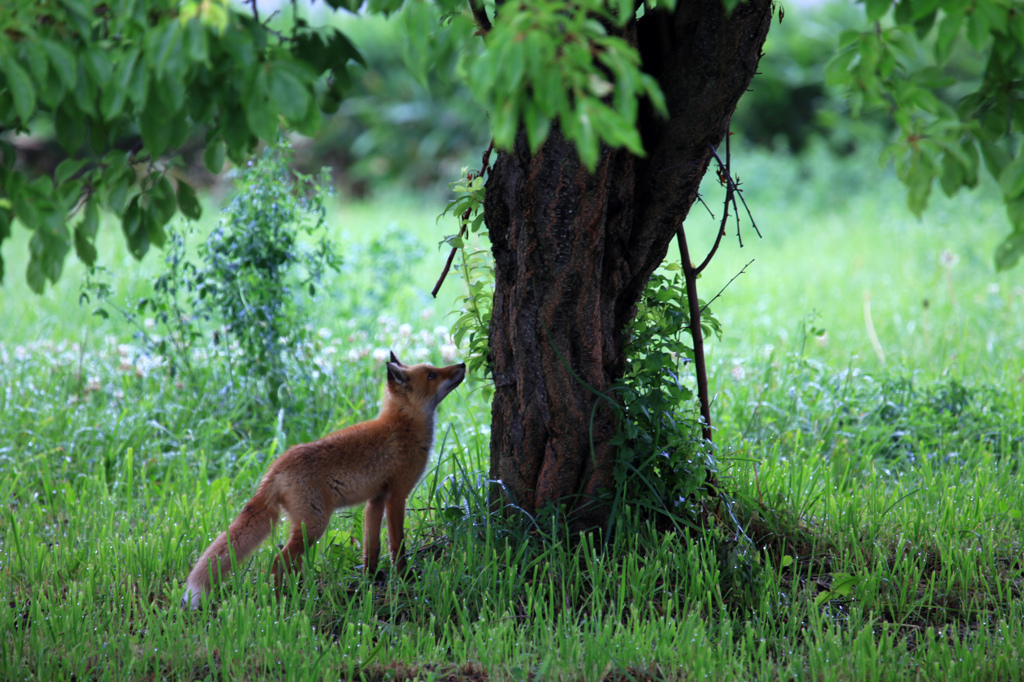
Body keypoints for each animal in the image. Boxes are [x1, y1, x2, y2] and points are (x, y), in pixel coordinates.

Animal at [185, 350, 468, 606]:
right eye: (431, 374)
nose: (463, 364)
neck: (403, 426)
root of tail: (275, 468)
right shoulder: (397, 496)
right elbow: (397, 545)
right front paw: (405, 577)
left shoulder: (375, 500)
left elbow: (372, 547)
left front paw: (372, 579)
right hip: (314, 526)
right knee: (278, 561)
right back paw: (280, 600)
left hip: (307, 527)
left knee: (291, 563)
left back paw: (297, 592)